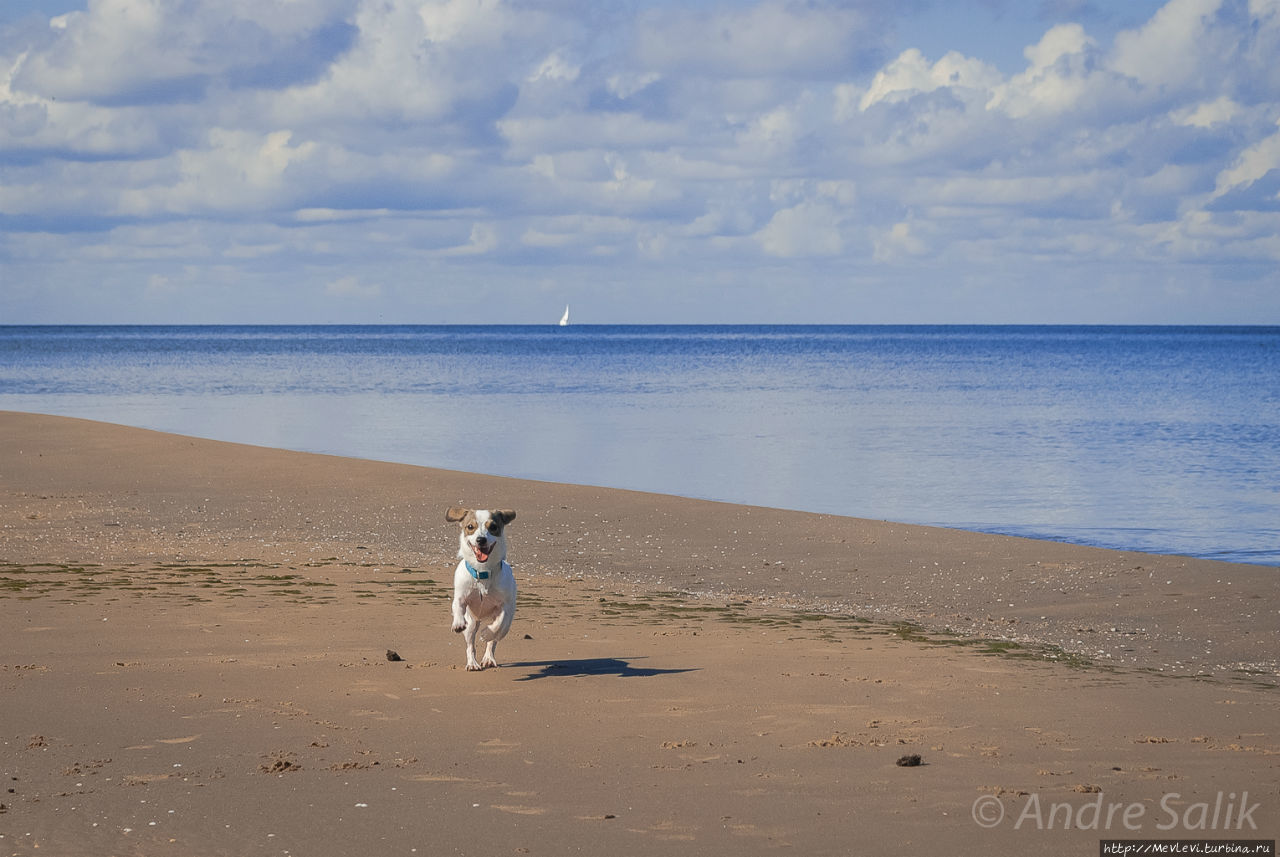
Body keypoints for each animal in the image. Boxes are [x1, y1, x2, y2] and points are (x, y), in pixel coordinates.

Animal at [445, 506, 514, 675]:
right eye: (470, 527)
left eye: (493, 527)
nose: (480, 539)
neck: (482, 572)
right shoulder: (461, 597)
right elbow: (457, 607)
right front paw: (457, 623)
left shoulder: (504, 607)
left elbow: (498, 624)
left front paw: (486, 633)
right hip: (471, 624)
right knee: (470, 645)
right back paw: (472, 663)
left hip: (505, 627)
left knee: (494, 640)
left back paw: (488, 657)